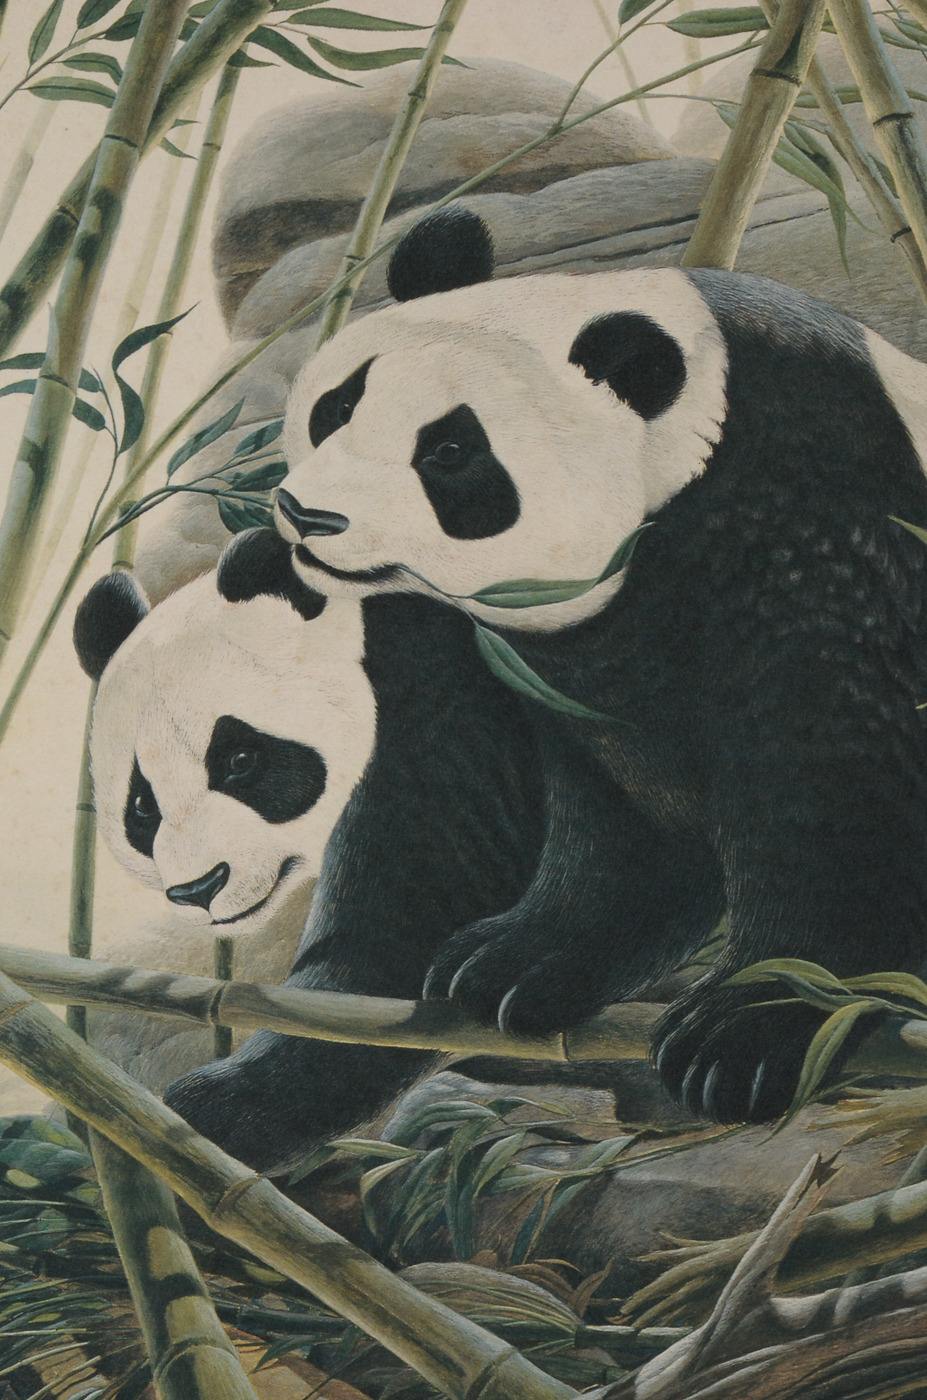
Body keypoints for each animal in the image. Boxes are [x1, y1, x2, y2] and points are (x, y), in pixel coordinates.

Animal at [75, 531, 546, 1172]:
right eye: (142, 805)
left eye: (240, 760)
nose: (200, 888)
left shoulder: (443, 696)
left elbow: (410, 923)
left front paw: (225, 1104)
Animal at [270, 207, 927, 1128]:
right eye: (338, 405)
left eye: (449, 451)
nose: (308, 515)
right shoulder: (540, 657)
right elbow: (613, 821)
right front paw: (514, 964)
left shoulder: (823, 516)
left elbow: (836, 775)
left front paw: (750, 1027)